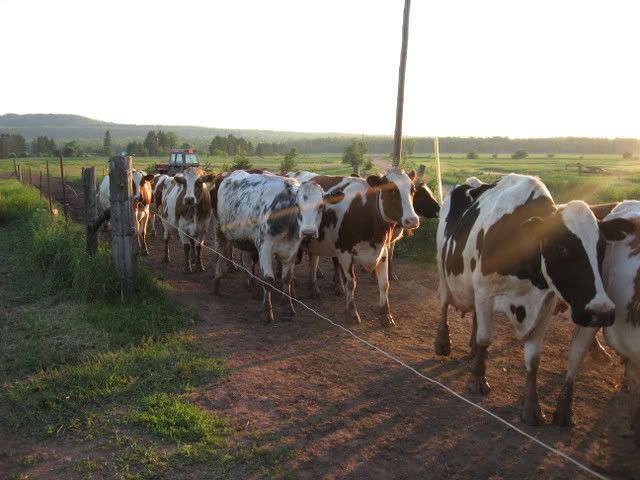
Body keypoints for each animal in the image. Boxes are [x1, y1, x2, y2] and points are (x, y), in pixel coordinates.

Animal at [211, 170, 337, 322]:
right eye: (297, 204)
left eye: (321, 206)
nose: (308, 232)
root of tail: (226, 173)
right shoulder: (264, 248)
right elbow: (269, 280)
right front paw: (266, 312)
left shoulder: (291, 250)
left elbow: (287, 278)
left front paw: (288, 307)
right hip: (219, 230)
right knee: (219, 255)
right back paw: (216, 284)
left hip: (246, 239)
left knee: (246, 262)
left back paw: (252, 288)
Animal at [301, 168, 419, 327]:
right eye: (391, 190)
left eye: (413, 190)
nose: (412, 220)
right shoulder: (344, 252)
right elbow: (351, 283)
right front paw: (352, 314)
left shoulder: (382, 252)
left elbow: (384, 284)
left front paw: (386, 315)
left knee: (313, 259)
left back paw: (313, 288)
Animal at [435, 173, 632, 425]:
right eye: (562, 249)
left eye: (602, 247)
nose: (601, 311)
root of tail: (471, 182)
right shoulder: (485, 292)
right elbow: (486, 337)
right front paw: (478, 379)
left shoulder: (544, 304)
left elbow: (534, 358)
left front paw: (531, 406)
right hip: (443, 270)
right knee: (444, 303)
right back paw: (443, 342)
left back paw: (472, 348)